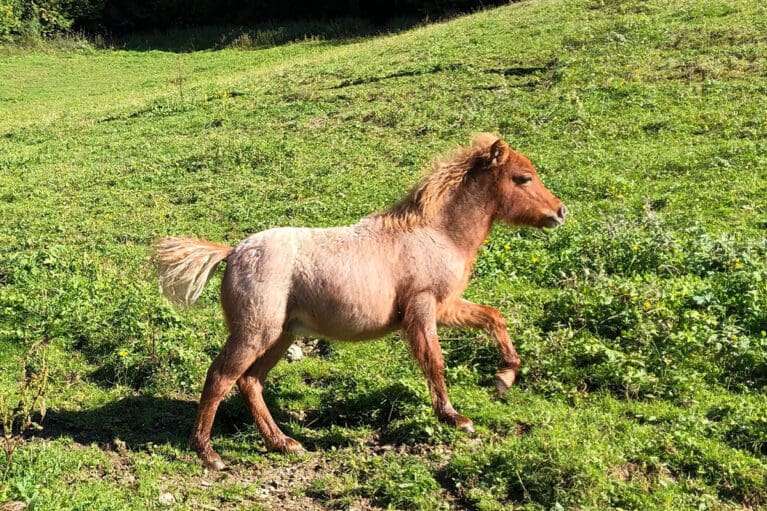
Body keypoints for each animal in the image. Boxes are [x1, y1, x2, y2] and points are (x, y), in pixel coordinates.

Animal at [154, 134, 564, 470]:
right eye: (523, 178)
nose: (560, 211)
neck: (437, 235)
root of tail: (233, 252)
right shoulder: (422, 308)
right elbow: (434, 361)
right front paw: (455, 417)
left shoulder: (446, 307)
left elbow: (494, 318)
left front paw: (505, 376)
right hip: (255, 333)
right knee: (221, 377)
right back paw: (208, 453)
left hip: (282, 335)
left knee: (250, 381)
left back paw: (283, 443)